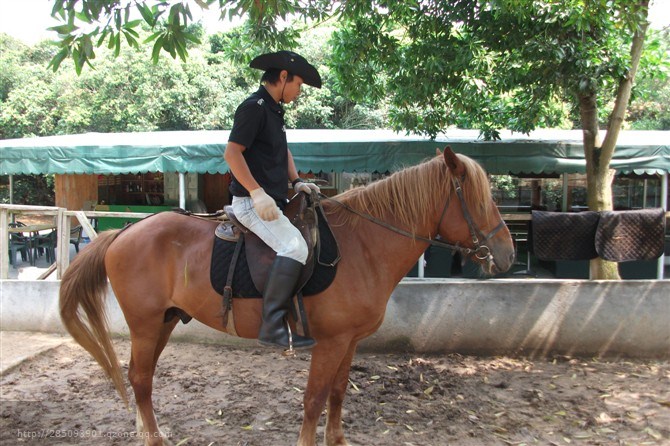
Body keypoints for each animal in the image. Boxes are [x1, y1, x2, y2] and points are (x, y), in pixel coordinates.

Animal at [60, 149, 516, 446]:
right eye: (479, 199)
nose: (508, 254)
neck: (362, 245)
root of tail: (125, 231)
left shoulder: (349, 341)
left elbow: (337, 393)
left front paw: (337, 439)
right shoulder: (330, 343)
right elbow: (314, 400)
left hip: (164, 321)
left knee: (143, 376)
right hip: (145, 323)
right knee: (139, 378)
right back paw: (153, 439)